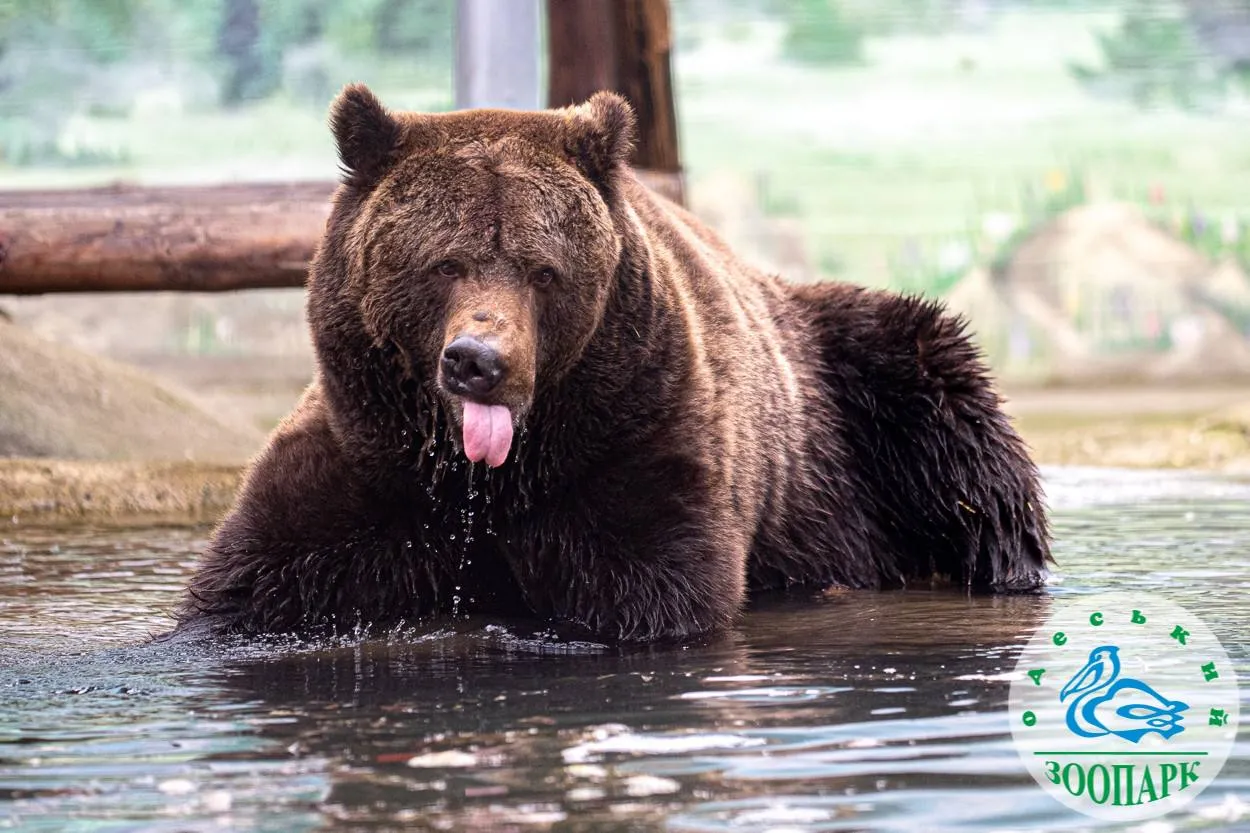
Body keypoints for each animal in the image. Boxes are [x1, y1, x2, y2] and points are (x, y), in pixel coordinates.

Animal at [171, 82, 1050, 640]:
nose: (479, 361)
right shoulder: (367, 465)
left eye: (542, 268)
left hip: (851, 398)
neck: (485, 479)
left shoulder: (636, 439)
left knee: (958, 434)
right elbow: (247, 586)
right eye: (444, 261)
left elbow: (648, 592)